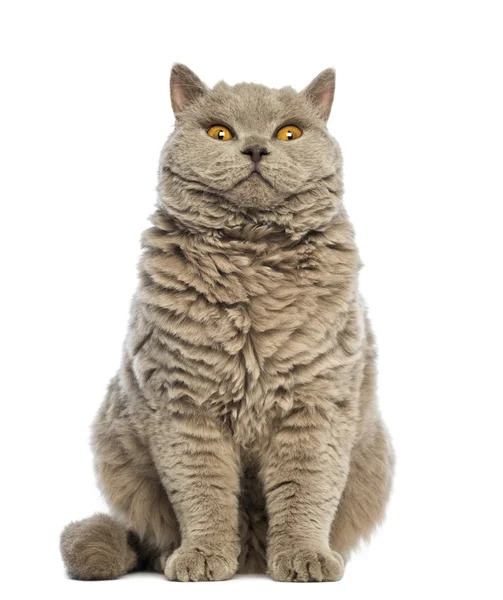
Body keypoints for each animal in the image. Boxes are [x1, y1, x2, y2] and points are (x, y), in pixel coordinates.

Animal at [60, 62, 394, 580]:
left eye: (289, 132)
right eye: (220, 132)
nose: (255, 147)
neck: (252, 263)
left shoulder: (316, 406)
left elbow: (305, 492)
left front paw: (304, 558)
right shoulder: (184, 407)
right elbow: (204, 494)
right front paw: (203, 557)